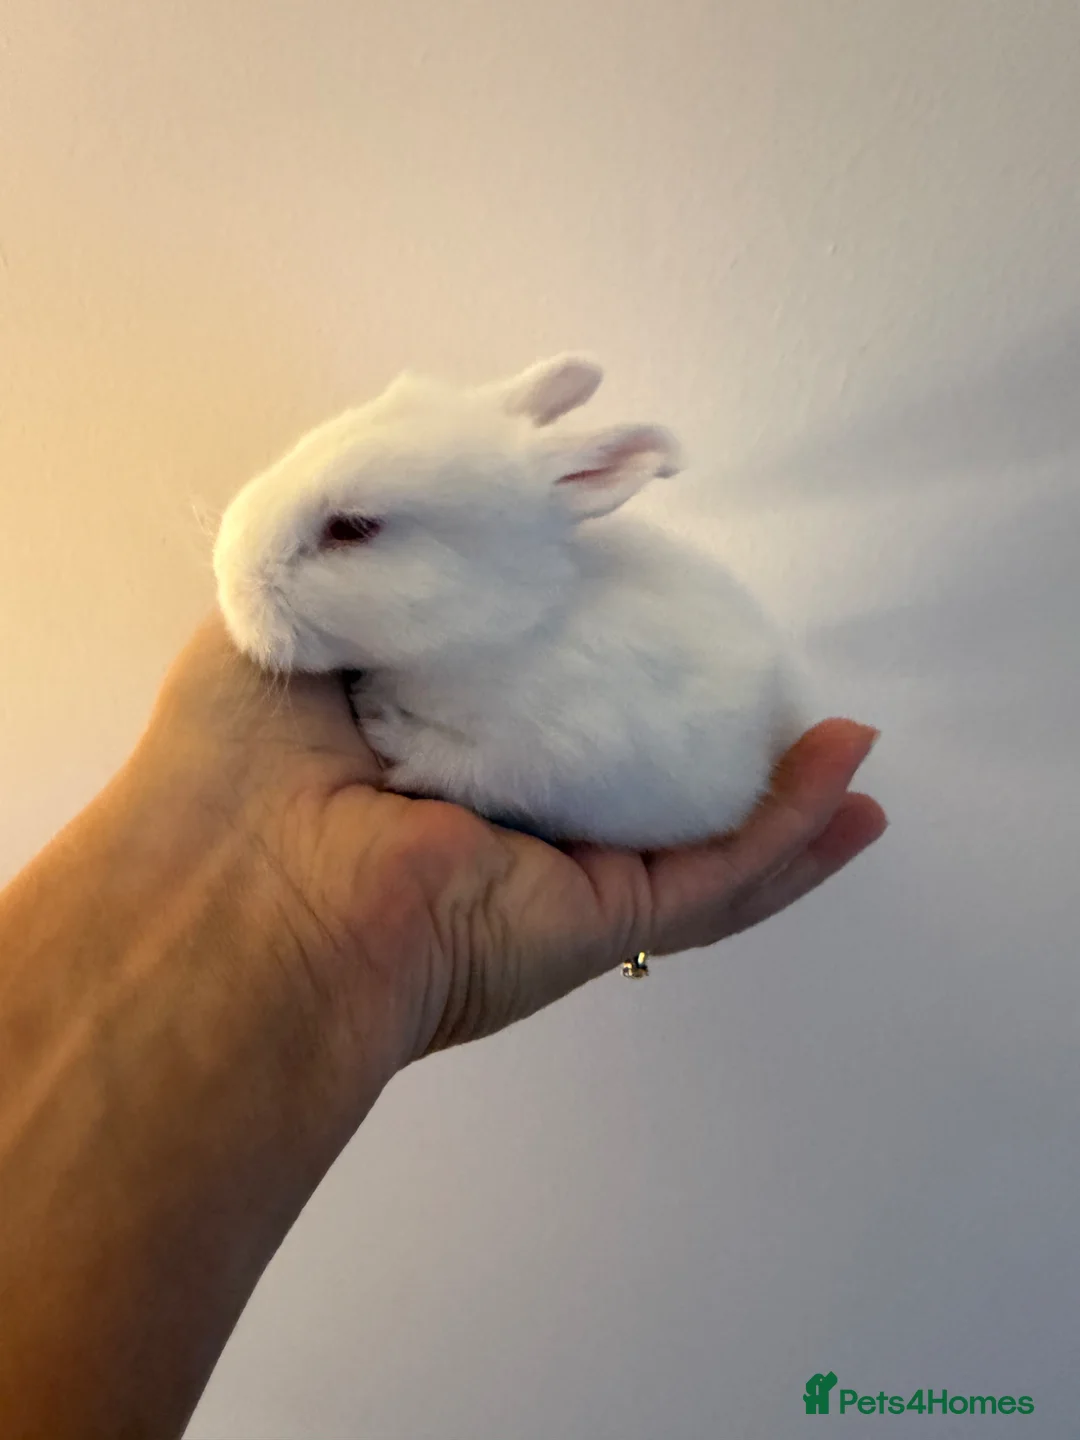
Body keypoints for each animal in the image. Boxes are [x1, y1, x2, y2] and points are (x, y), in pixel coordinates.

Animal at [213, 354, 810, 849]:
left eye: (353, 529)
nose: (230, 583)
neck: (508, 630)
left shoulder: (552, 755)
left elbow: (467, 768)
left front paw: (386, 727)